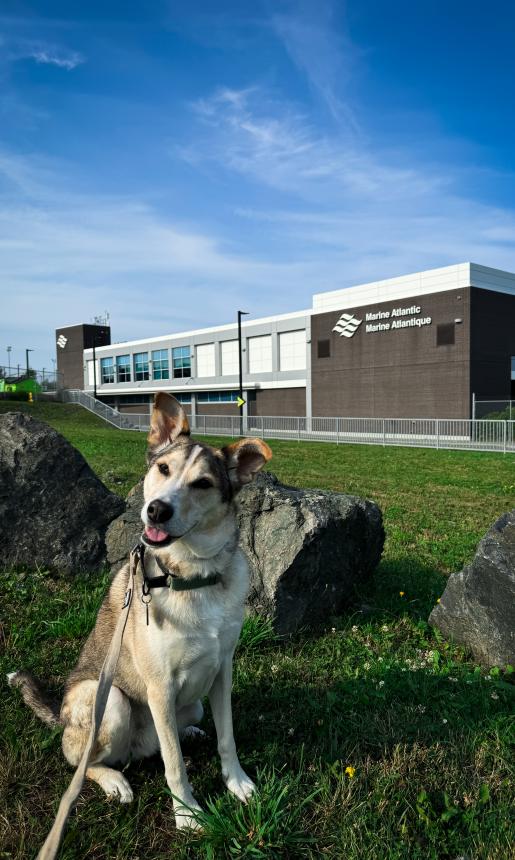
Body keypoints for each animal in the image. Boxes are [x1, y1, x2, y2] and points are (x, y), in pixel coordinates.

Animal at [9, 394, 274, 828]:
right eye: (163, 469)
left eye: (203, 483)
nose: (156, 510)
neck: (192, 576)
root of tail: (60, 717)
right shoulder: (160, 685)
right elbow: (175, 765)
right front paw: (187, 813)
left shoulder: (222, 670)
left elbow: (228, 738)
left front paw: (237, 782)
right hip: (108, 701)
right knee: (83, 762)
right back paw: (115, 781)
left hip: (193, 704)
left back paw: (188, 734)